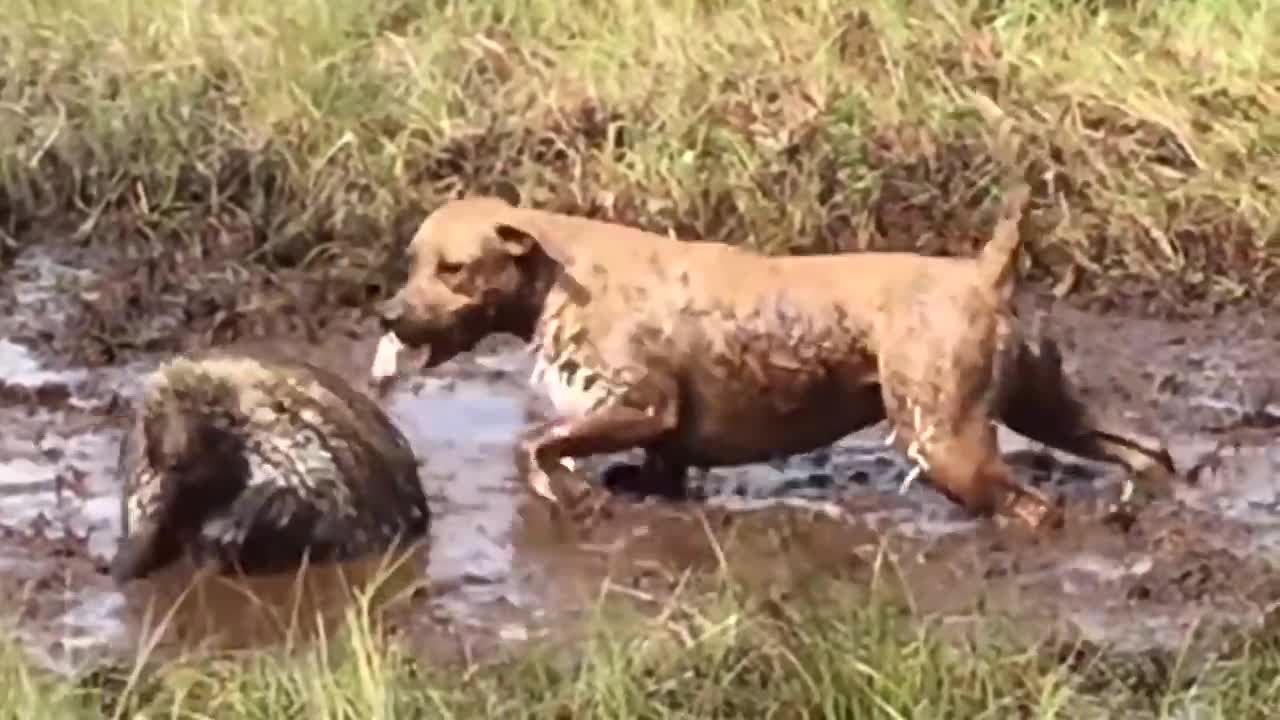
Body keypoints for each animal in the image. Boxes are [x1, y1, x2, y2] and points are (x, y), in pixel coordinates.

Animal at [371, 188, 1172, 530]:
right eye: (412, 263)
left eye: (453, 269)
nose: (388, 317)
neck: (559, 272)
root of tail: (983, 272)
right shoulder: (663, 436)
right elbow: (650, 470)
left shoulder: (639, 405)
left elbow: (533, 445)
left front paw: (568, 493)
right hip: (1046, 408)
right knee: (1147, 449)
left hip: (944, 441)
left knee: (1034, 507)